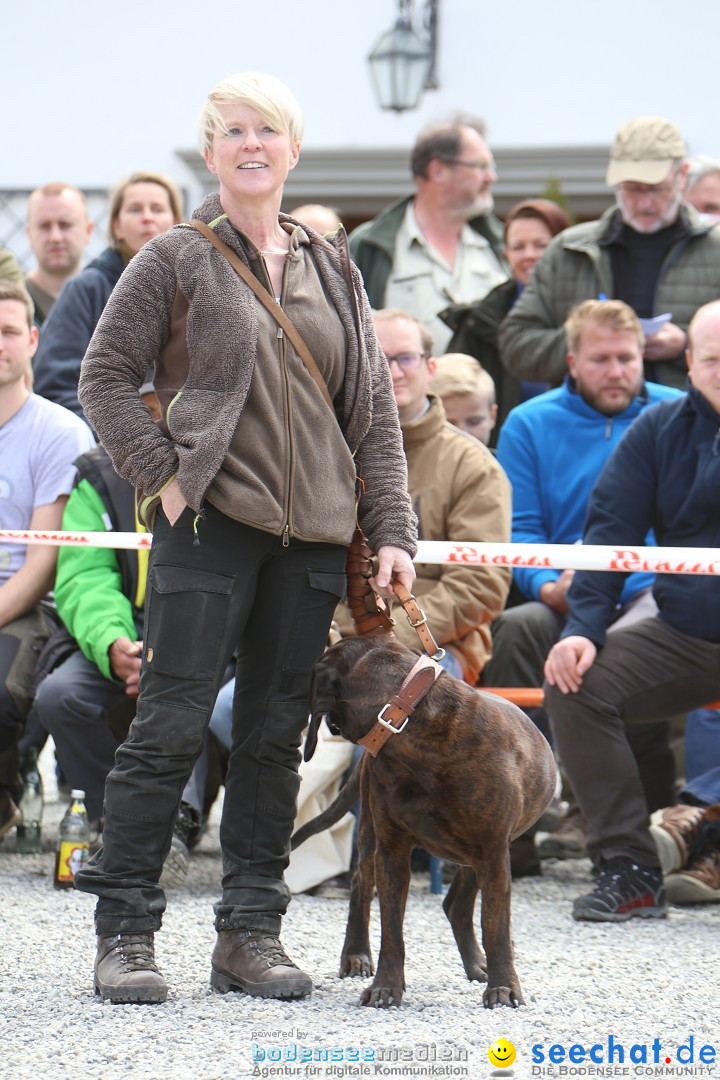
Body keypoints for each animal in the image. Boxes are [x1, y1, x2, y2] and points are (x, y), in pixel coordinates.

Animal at [297, 635, 557, 1006]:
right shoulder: (392, 851)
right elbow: (392, 930)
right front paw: (386, 987)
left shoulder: (493, 853)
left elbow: (495, 927)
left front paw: (503, 986)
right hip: (372, 834)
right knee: (362, 885)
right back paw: (356, 955)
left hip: (476, 854)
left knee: (456, 905)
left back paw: (478, 964)